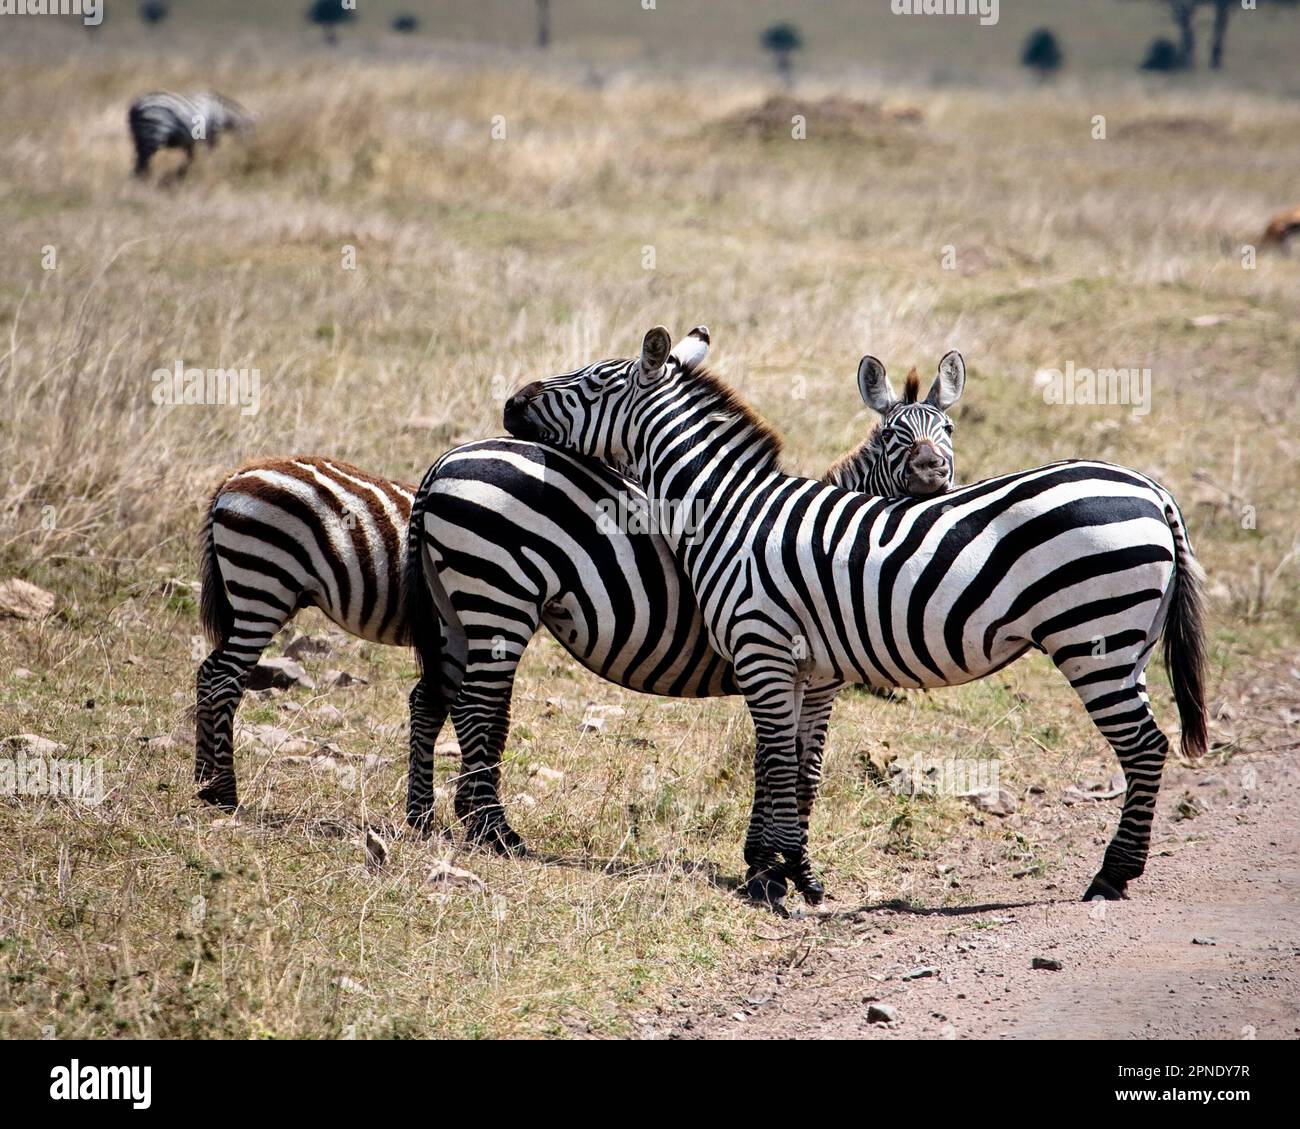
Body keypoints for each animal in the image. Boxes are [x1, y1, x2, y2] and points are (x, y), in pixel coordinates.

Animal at [195, 332, 956, 866]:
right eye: (896, 436)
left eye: (949, 432)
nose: (934, 471)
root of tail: (445, 460)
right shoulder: (810, 668)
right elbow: (802, 764)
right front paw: (784, 853)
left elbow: (802, 762)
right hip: (473, 592)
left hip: (453, 604)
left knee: (431, 700)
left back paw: (423, 818)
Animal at [501, 326, 1208, 908]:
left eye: (593, 381)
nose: (509, 404)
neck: (729, 509)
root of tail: (1151, 489)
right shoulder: (812, 669)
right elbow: (801, 766)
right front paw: (793, 872)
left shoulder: (762, 650)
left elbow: (773, 762)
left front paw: (768, 878)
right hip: (1128, 643)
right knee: (1148, 743)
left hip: (1095, 636)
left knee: (1145, 746)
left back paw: (1112, 877)